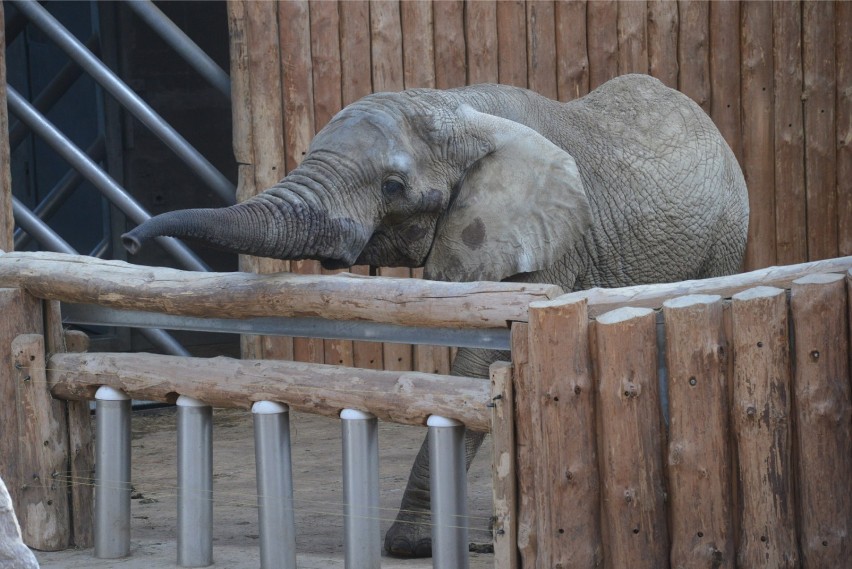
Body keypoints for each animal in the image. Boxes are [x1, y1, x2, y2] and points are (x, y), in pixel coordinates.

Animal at [123, 73, 748, 556]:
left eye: (393, 186)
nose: (128, 240)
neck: (457, 107)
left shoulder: (549, 238)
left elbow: (478, 364)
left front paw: (410, 546)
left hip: (726, 233)